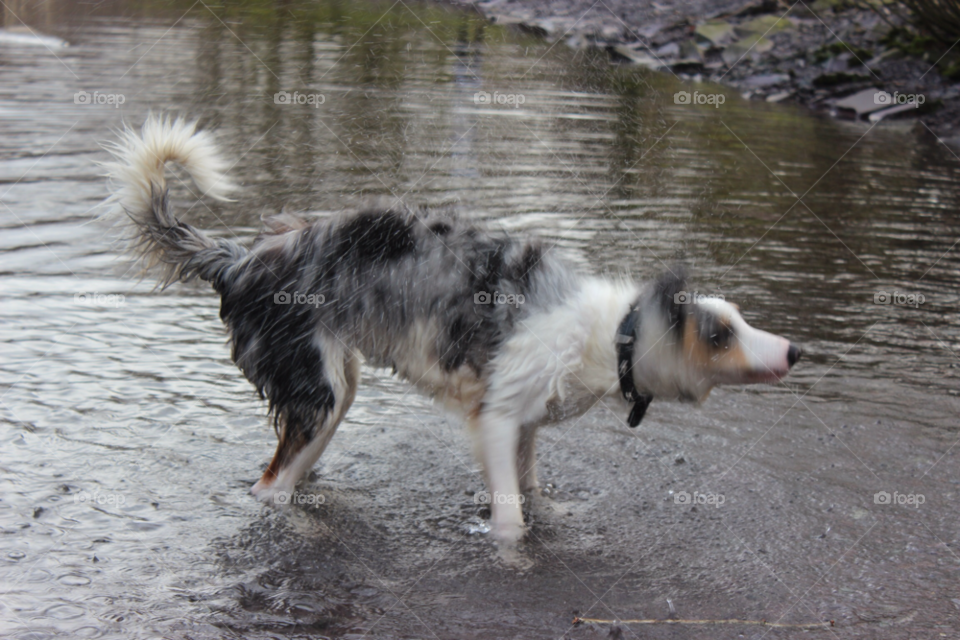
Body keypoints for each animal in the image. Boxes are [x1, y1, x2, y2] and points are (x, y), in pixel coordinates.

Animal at [103, 117, 804, 544]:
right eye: (720, 334)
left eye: (740, 319)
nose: (796, 350)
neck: (615, 333)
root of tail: (239, 260)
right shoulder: (495, 418)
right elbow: (512, 517)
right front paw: (512, 554)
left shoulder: (524, 425)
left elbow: (534, 489)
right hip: (318, 390)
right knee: (269, 489)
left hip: (335, 388)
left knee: (283, 476)